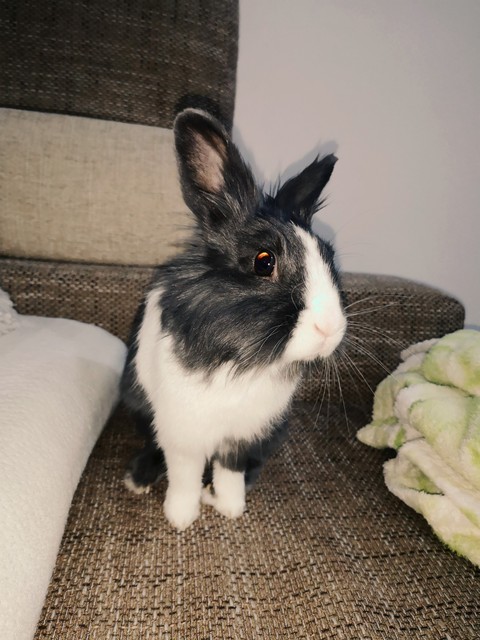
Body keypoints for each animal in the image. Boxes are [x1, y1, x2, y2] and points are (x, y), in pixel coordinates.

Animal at [121, 108, 347, 531]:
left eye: (329, 256)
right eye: (264, 261)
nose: (331, 329)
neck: (243, 358)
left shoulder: (244, 434)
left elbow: (230, 471)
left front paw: (228, 506)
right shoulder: (182, 431)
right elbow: (184, 474)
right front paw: (180, 517)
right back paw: (138, 479)